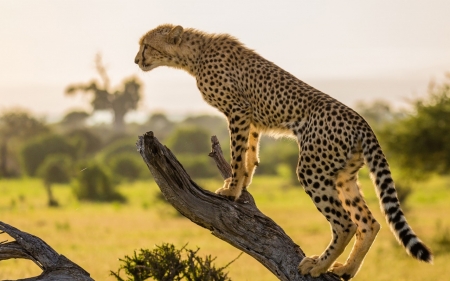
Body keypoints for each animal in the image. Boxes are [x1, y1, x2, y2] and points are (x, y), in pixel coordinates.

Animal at [134, 25, 432, 278]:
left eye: (146, 45)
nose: (136, 60)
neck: (194, 55)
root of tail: (363, 123)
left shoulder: (238, 111)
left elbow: (237, 154)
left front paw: (231, 190)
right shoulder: (251, 118)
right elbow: (250, 154)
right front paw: (241, 185)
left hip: (312, 170)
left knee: (345, 223)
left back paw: (317, 265)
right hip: (343, 175)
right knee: (369, 223)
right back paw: (346, 269)